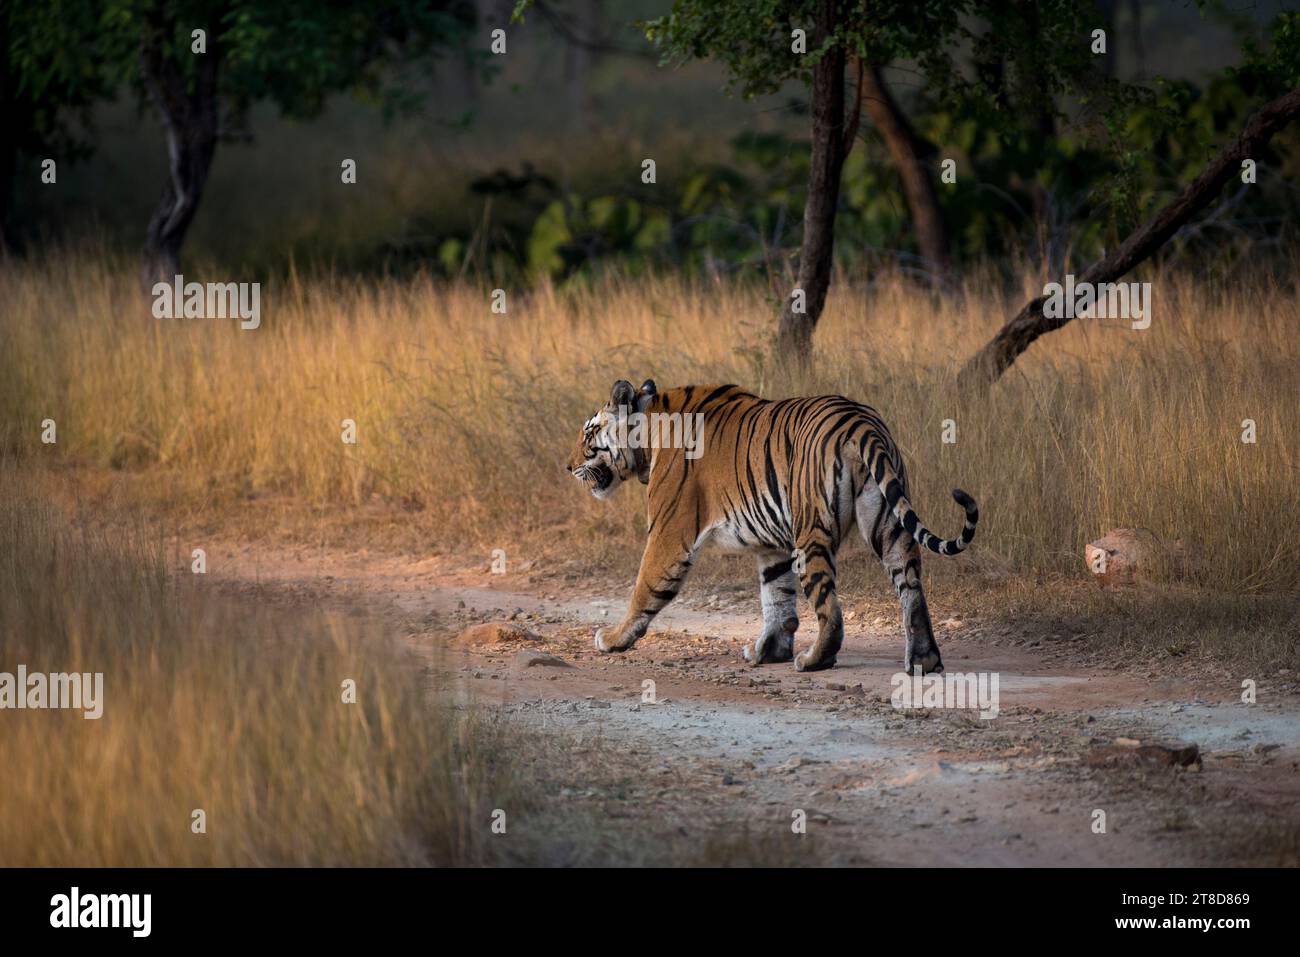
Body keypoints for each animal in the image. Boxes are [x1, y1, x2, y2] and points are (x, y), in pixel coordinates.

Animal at [564, 377, 977, 676]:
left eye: (588, 435)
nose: (568, 467)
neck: (649, 435)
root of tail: (861, 422)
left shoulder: (669, 533)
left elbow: (643, 588)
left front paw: (613, 638)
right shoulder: (772, 545)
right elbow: (777, 599)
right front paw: (769, 651)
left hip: (810, 531)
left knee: (830, 606)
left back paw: (813, 660)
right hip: (887, 523)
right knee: (911, 588)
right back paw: (923, 660)